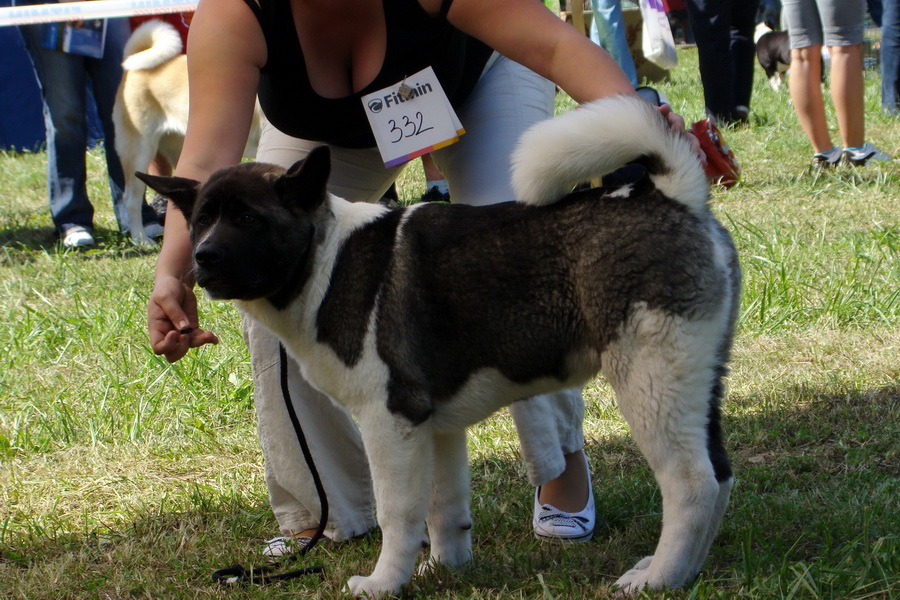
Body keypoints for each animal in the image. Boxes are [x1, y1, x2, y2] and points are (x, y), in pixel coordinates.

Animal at [141, 96, 740, 596]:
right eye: (200, 221)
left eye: (248, 218)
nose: (203, 259)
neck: (326, 259)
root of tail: (673, 194)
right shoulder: (433, 427)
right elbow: (443, 506)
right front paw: (444, 570)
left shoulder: (391, 420)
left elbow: (398, 513)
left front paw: (384, 583)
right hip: (692, 379)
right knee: (720, 475)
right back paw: (682, 572)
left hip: (651, 381)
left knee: (692, 484)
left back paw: (658, 579)